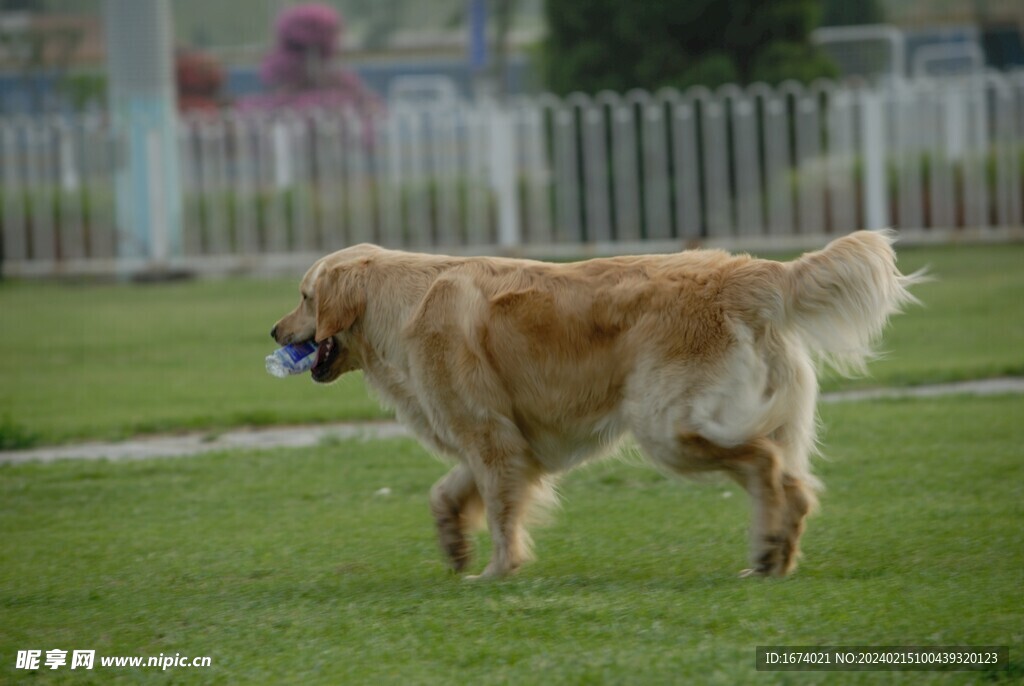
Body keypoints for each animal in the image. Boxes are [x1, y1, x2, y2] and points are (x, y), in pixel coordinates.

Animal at [270, 231, 921, 581]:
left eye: (304, 296)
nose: (274, 332)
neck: (398, 304)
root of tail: (750, 272)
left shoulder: (490, 438)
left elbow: (502, 511)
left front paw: (498, 570)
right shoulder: (508, 440)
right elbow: (446, 492)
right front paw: (454, 544)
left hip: (666, 427)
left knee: (765, 463)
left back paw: (764, 552)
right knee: (795, 484)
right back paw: (773, 559)